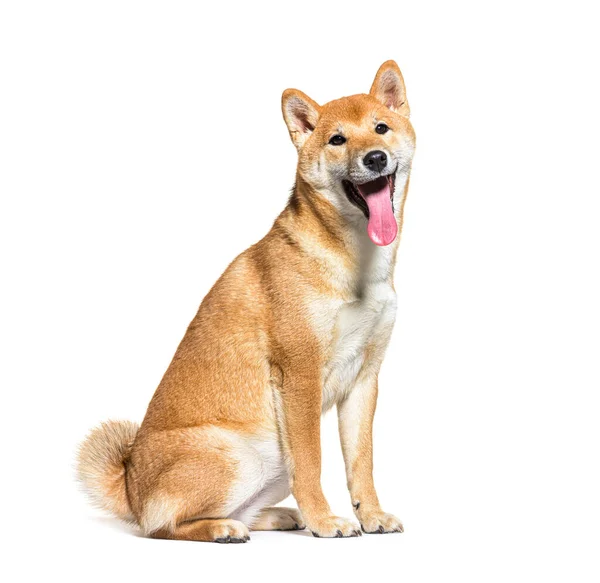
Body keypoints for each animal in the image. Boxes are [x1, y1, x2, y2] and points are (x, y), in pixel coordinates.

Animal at [78, 59, 418, 544]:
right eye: (337, 139)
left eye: (381, 128)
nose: (374, 158)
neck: (357, 263)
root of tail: (130, 487)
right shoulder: (300, 375)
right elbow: (312, 462)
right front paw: (325, 520)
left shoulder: (364, 379)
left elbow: (361, 462)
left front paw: (370, 514)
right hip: (235, 453)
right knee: (160, 526)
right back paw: (223, 527)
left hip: (268, 461)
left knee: (246, 507)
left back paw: (277, 516)